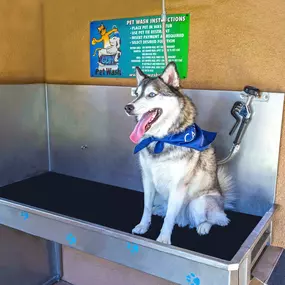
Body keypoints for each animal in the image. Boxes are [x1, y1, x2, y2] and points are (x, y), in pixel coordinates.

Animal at [123, 61, 233, 243]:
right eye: (136, 94)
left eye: (151, 94)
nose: (128, 107)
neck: (163, 139)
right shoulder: (147, 179)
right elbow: (146, 207)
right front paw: (143, 226)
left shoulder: (178, 185)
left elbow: (169, 217)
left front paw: (163, 239)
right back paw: (159, 210)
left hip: (199, 203)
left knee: (218, 219)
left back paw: (204, 226)